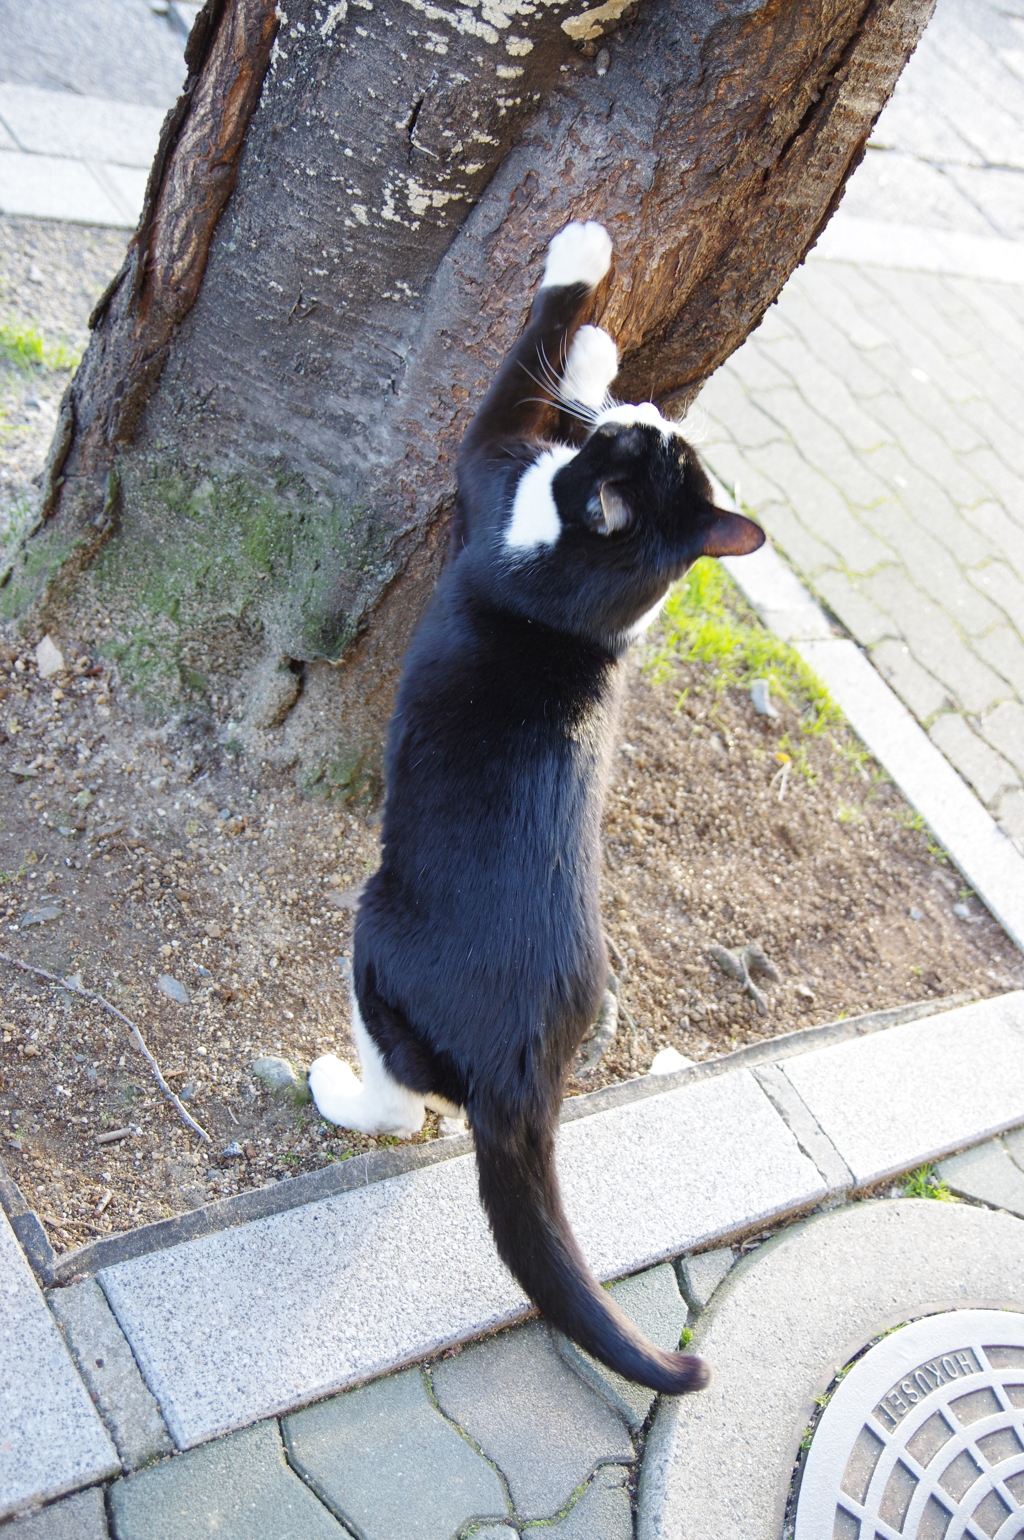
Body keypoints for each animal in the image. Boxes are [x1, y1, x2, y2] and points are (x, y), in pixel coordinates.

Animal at [307, 220, 763, 1398]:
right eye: (661, 441)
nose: (643, 406)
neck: (586, 605)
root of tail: (523, 1076)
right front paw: (601, 354)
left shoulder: (494, 461)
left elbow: (524, 366)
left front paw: (583, 282)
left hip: (375, 933)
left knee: (406, 1101)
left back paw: (334, 1088)